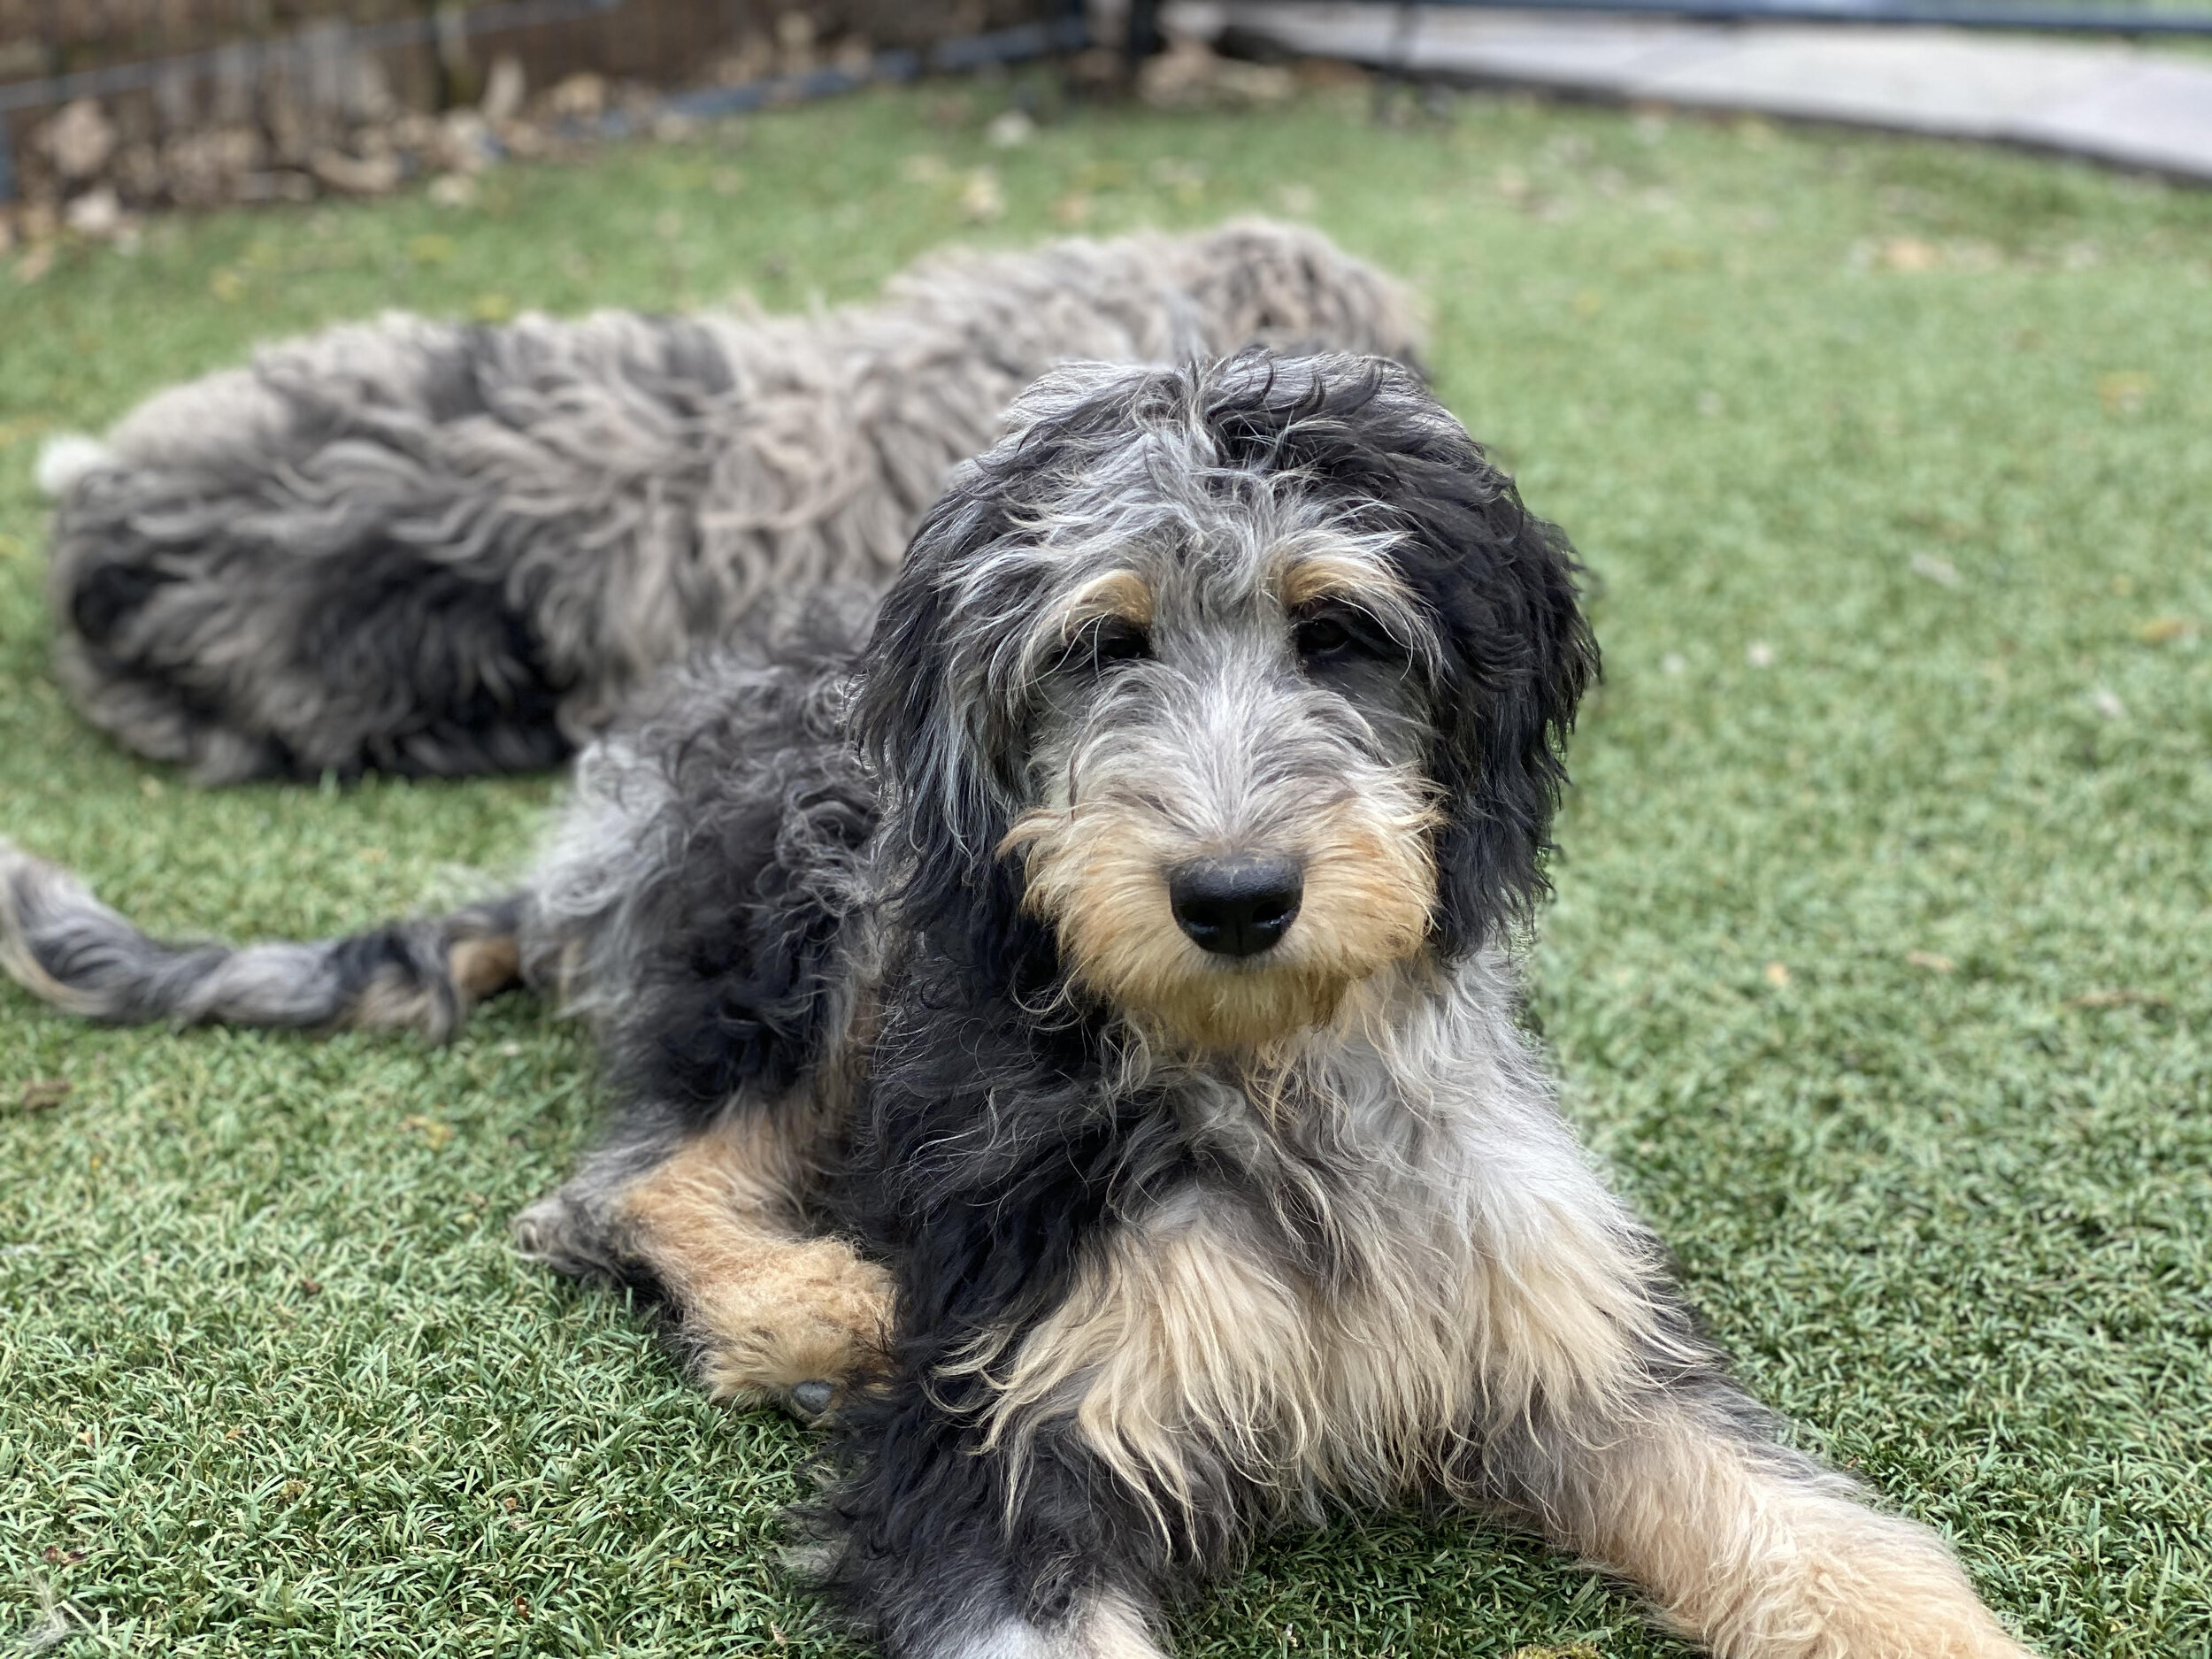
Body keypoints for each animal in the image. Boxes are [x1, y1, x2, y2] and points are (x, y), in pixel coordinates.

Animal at [4, 354, 2035, 1659]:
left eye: (1341, 633)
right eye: (1098, 643)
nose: (1233, 896)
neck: (1259, 1076)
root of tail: (604, 810)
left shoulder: (1569, 1336)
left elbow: (1821, 1542)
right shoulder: (1000, 1442)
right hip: (816, 904)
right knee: (621, 1182)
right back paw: (811, 1307)